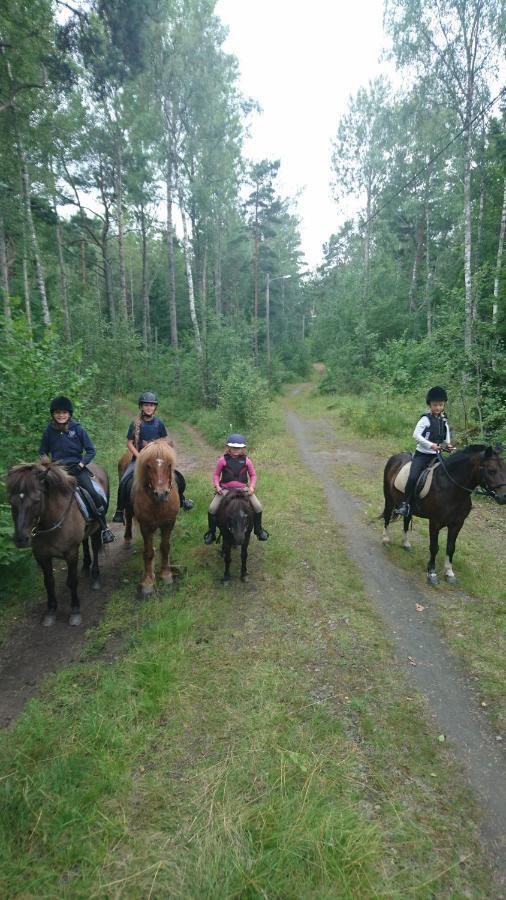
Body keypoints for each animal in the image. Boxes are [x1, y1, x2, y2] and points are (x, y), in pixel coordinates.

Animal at [6, 458, 109, 624]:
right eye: (12, 501)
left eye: (36, 501)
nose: (21, 539)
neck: (51, 522)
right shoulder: (41, 555)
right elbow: (49, 582)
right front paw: (51, 611)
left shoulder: (71, 553)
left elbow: (72, 581)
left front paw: (75, 611)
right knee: (85, 543)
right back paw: (85, 567)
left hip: (97, 527)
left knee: (94, 546)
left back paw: (95, 577)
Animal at [123, 438, 181, 596]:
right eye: (148, 466)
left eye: (169, 464)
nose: (161, 494)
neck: (158, 504)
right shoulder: (146, 526)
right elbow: (148, 552)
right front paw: (148, 582)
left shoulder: (169, 523)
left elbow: (165, 547)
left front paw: (166, 575)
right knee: (128, 517)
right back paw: (127, 539)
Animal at [384, 444, 506, 584]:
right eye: (491, 470)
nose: (504, 497)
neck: (451, 487)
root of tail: (396, 457)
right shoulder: (435, 523)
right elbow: (434, 547)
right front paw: (431, 573)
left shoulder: (457, 524)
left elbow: (451, 547)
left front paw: (449, 572)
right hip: (389, 499)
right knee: (387, 517)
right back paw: (385, 539)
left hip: (409, 508)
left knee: (406, 520)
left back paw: (406, 544)